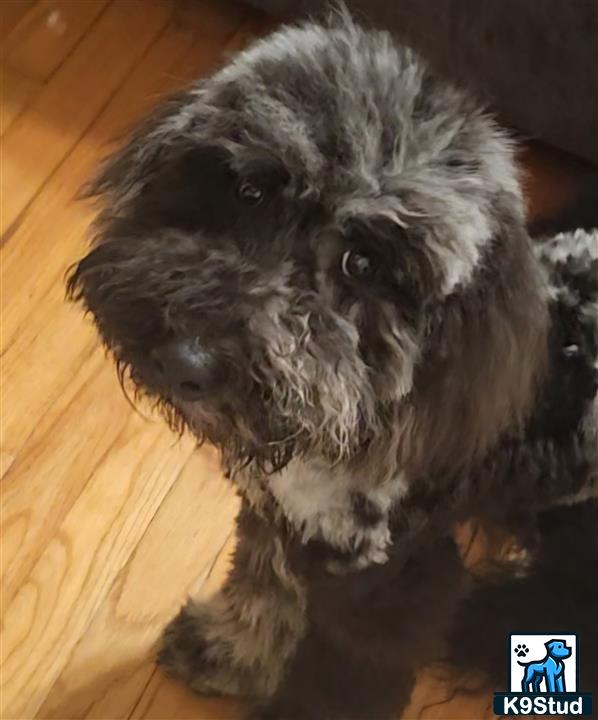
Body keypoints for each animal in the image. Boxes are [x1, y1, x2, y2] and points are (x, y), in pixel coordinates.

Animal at [67, 8, 598, 716]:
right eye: (250, 190)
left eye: (363, 264)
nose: (186, 360)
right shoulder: (282, 518)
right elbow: (264, 589)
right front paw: (230, 653)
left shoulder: (386, 582)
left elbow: (337, 675)